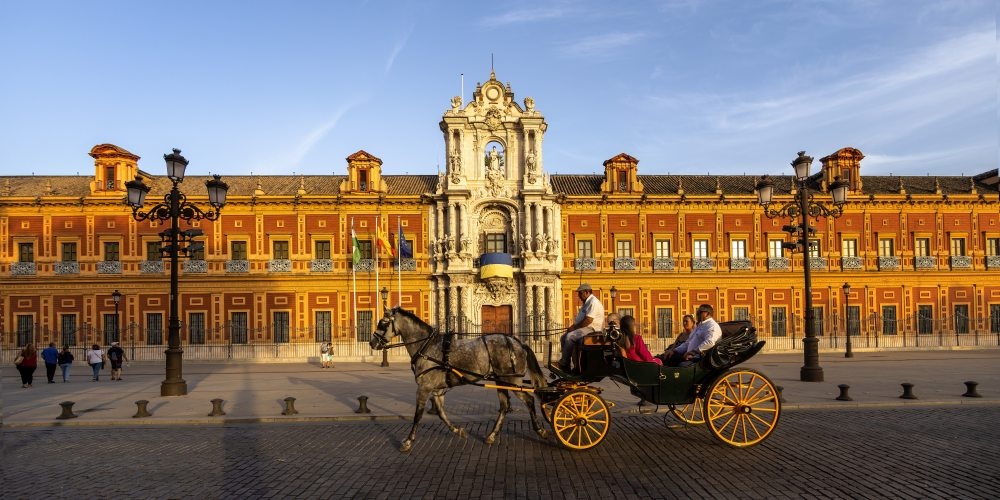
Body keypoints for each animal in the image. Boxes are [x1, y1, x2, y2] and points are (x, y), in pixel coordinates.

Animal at [372, 304, 552, 454]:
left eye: (383, 323)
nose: (372, 342)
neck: (427, 347)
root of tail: (519, 343)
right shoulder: (437, 390)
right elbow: (441, 413)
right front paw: (458, 430)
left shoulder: (424, 387)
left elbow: (418, 415)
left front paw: (408, 442)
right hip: (501, 380)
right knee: (504, 406)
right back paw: (492, 436)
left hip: (512, 380)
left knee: (528, 399)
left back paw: (541, 430)